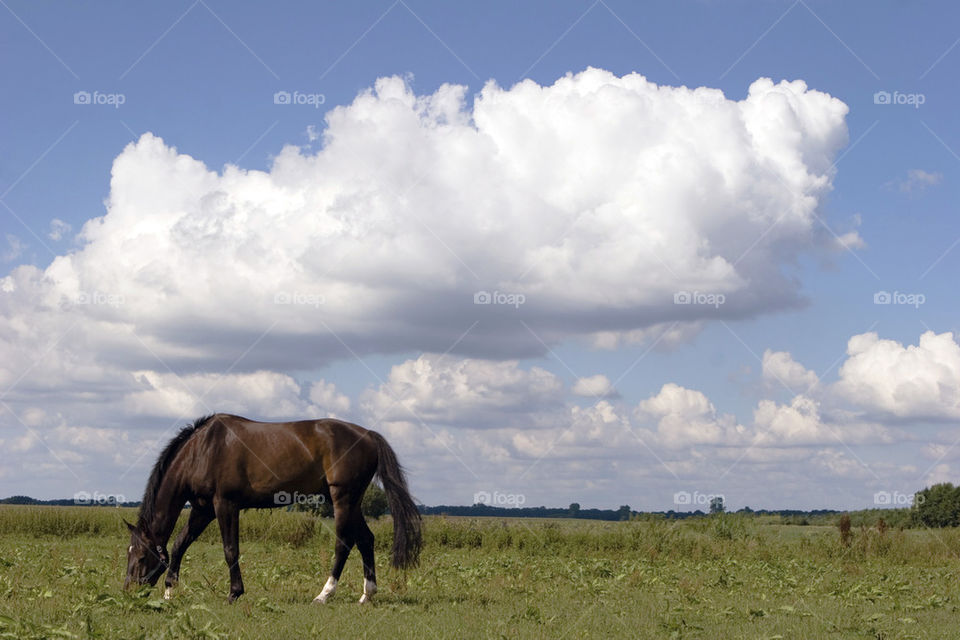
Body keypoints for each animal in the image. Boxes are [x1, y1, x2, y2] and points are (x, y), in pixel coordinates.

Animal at [121, 416, 420, 604]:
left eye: (140, 556)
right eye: (129, 551)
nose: (128, 590)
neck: (202, 450)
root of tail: (368, 436)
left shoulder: (225, 505)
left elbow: (230, 550)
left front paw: (234, 593)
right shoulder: (203, 510)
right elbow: (179, 544)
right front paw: (170, 591)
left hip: (343, 499)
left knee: (344, 543)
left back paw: (324, 594)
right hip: (353, 502)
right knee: (366, 539)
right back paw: (367, 594)